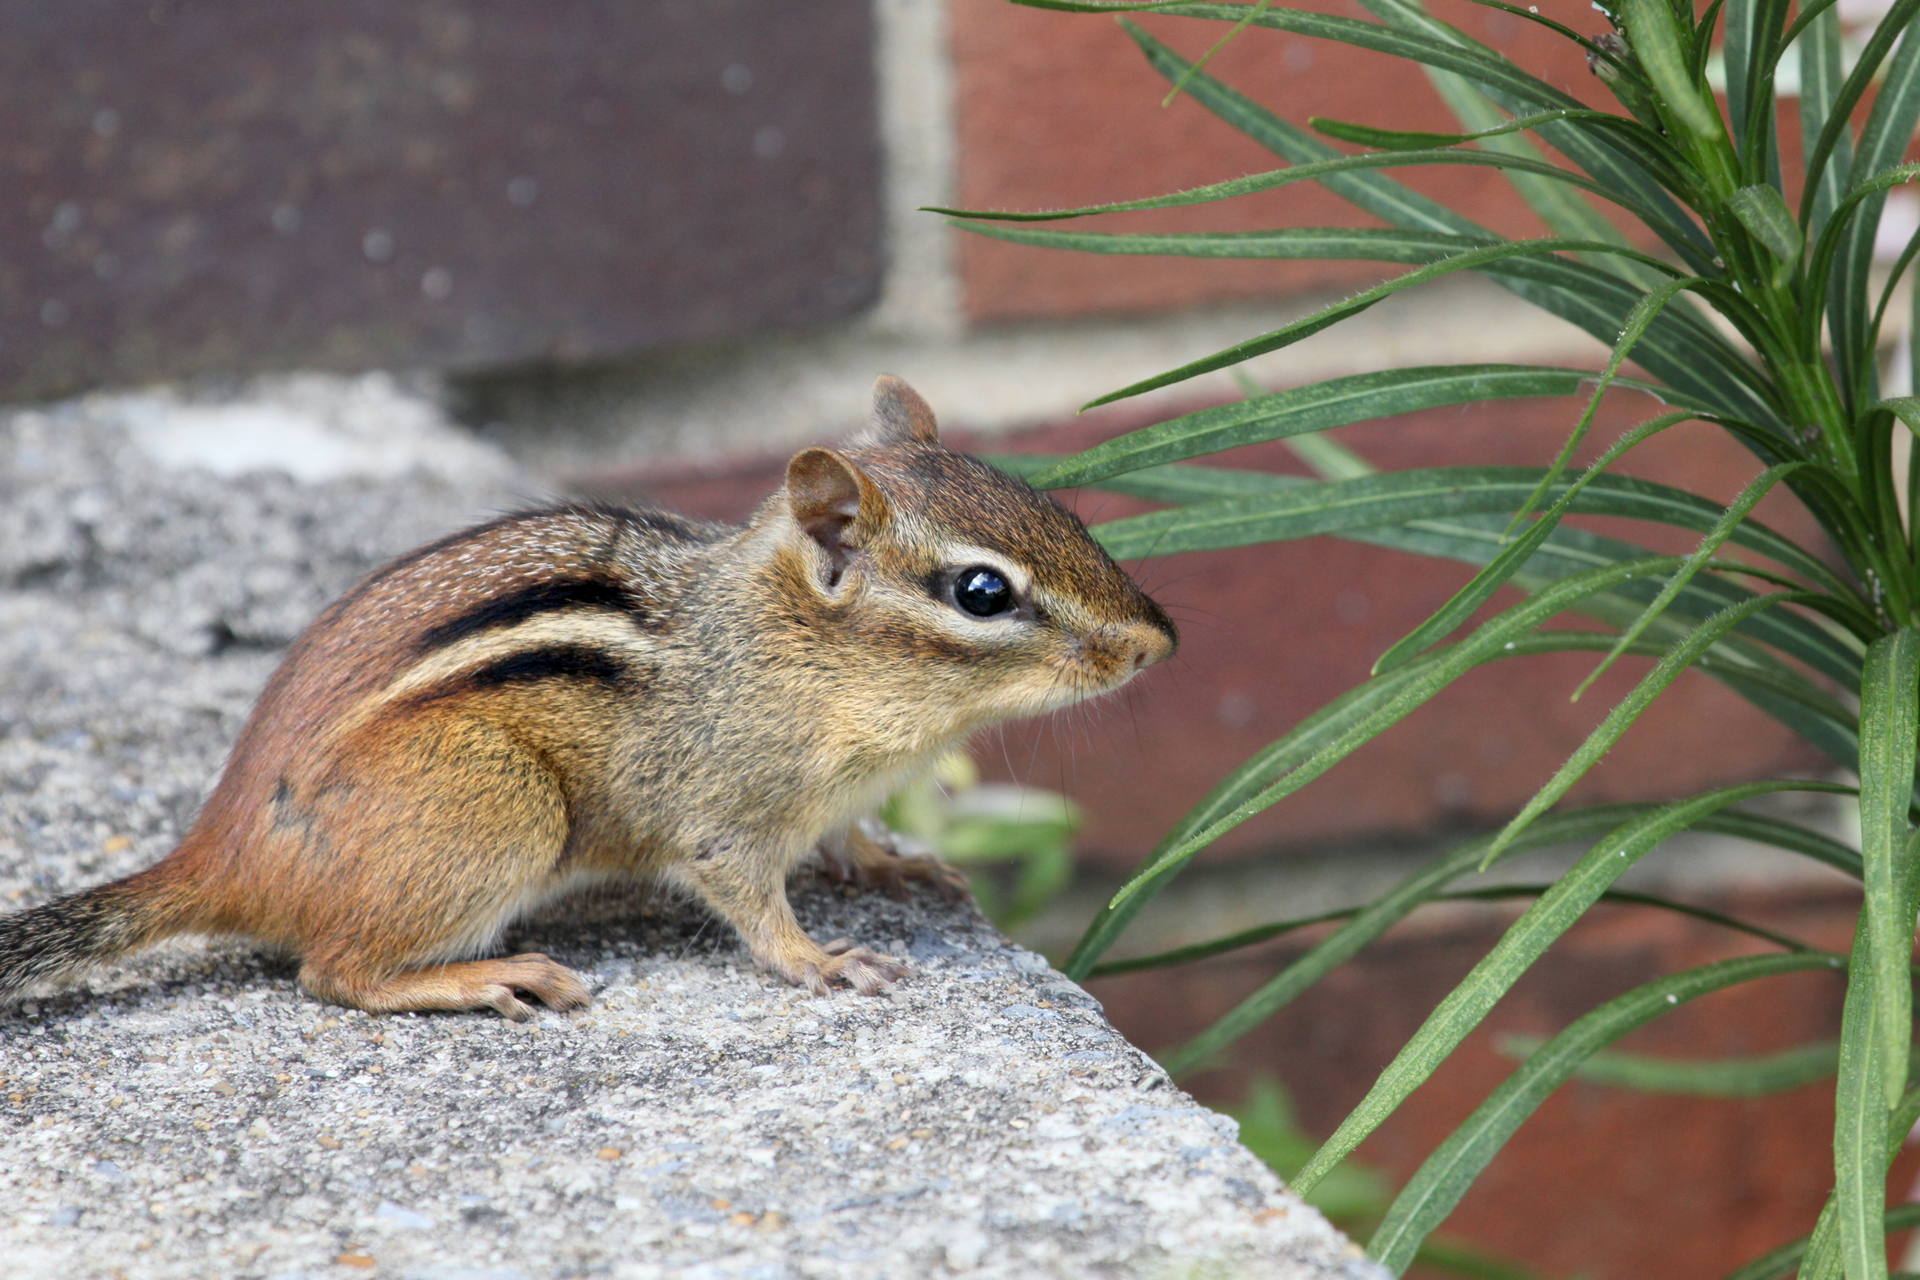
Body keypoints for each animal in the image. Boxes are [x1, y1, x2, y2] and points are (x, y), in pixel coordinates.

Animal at [0, 377, 1175, 1020]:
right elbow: (749, 897)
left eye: (1059, 511)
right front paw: (821, 958)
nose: (1157, 642)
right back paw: (485, 977)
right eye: (983, 592)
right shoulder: (725, 808)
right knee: (333, 971)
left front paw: (895, 863)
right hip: (501, 807)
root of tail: (227, 847)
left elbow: (847, 839)